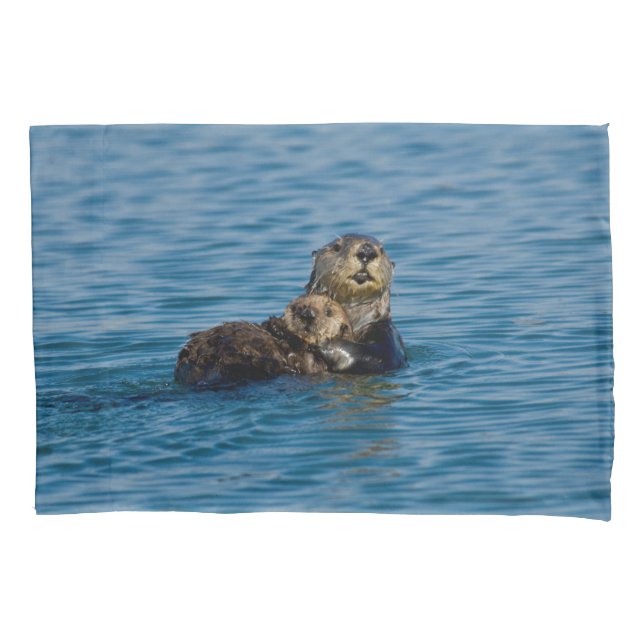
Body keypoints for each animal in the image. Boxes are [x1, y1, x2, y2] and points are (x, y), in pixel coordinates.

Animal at [174, 294, 353, 386]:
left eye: (328, 312)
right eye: (297, 307)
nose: (307, 314)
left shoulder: (315, 364)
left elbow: (303, 360)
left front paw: (278, 327)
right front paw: (274, 323)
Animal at [305, 234, 407, 374]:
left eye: (382, 250)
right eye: (336, 247)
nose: (367, 251)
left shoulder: (389, 336)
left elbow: (377, 357)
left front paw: (323, 342)